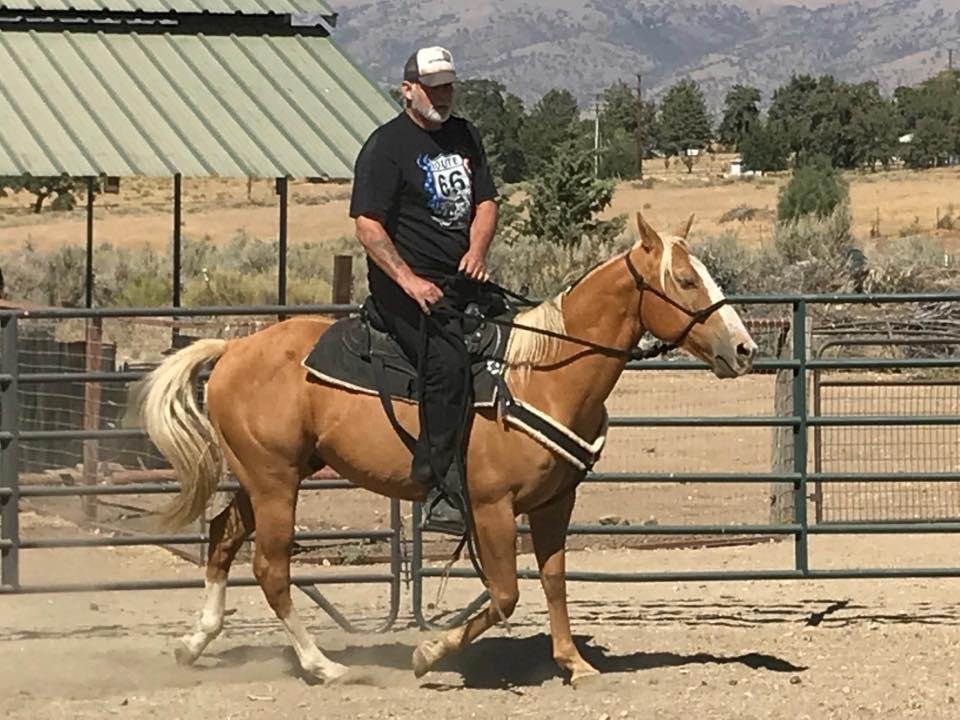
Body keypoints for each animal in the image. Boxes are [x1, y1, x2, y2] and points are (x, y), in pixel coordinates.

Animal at [139, 212, 758, 686]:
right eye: (685, 281)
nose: (744, 349)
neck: (540, 374)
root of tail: (233, 349)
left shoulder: (556, 503)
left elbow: (554, 580)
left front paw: (574, 664)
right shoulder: (491, 508)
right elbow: (505, 594)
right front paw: (428, 652)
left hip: (269, 476)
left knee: (222, 537)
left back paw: (195, 642)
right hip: (275, 483)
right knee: (270, 568)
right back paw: (324, 666)